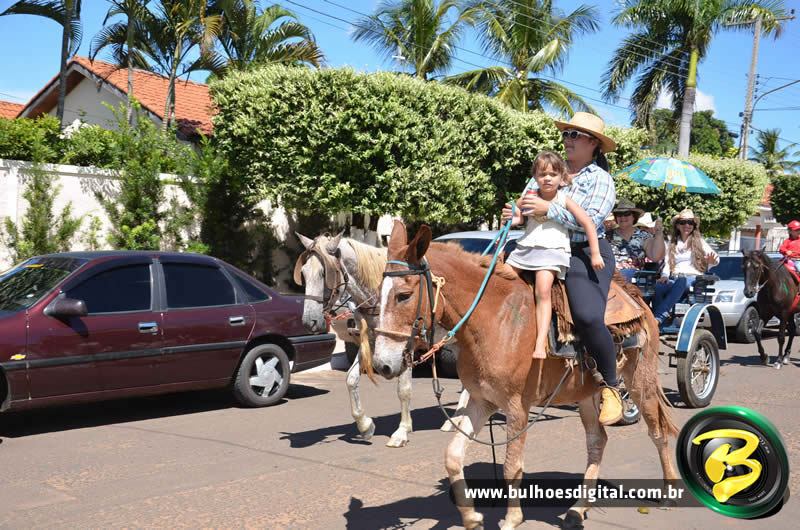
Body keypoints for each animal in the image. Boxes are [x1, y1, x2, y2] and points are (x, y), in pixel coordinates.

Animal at [373, 221, 678, 529]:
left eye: (404, 295)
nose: (381, 364)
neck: (495, 319)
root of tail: (637, 298)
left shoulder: (517, 406)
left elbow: (512, 465)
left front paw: (512, 519)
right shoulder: (482, 402)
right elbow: (453, 456)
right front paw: (472, 518)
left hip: (640, 383)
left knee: (657, 432)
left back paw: (669, 493)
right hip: (585, 395)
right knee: (597, 441)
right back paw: (577, 510)